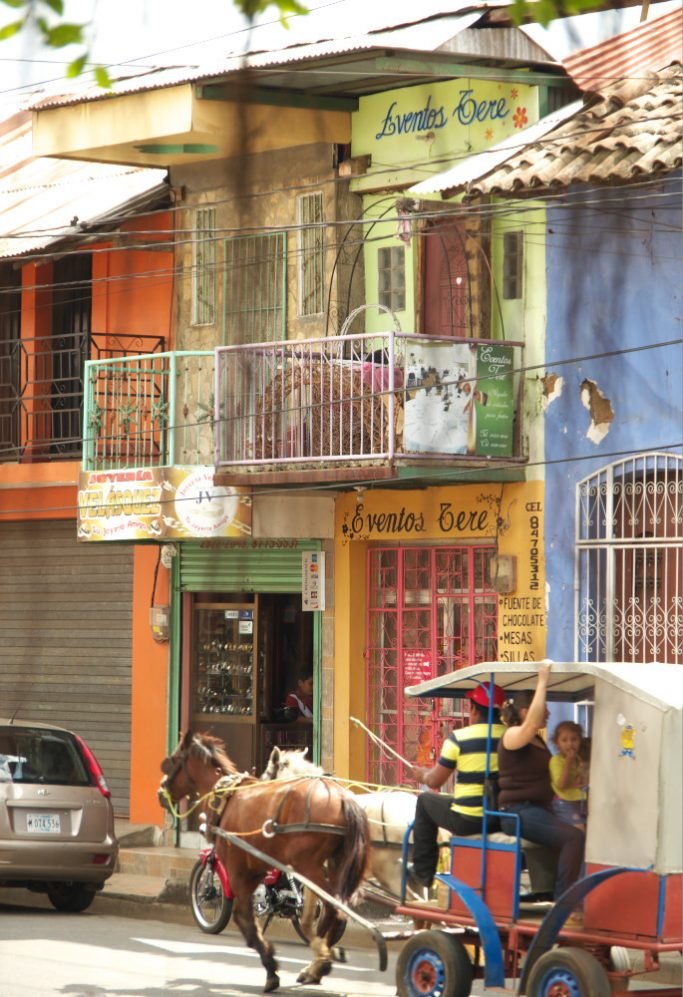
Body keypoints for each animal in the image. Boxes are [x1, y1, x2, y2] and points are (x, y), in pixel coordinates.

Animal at [158, 728, 372, 992]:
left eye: (173, 760)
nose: (161, 792)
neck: (226, 798)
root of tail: (342, 797)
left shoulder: (238, 870)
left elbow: (244, 919)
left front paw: (271, 969)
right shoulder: (256, 870)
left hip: (308, 865)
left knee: (331, 907)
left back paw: (319, 961)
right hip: (334, 862)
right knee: (334, 910)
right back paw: (318, 962)